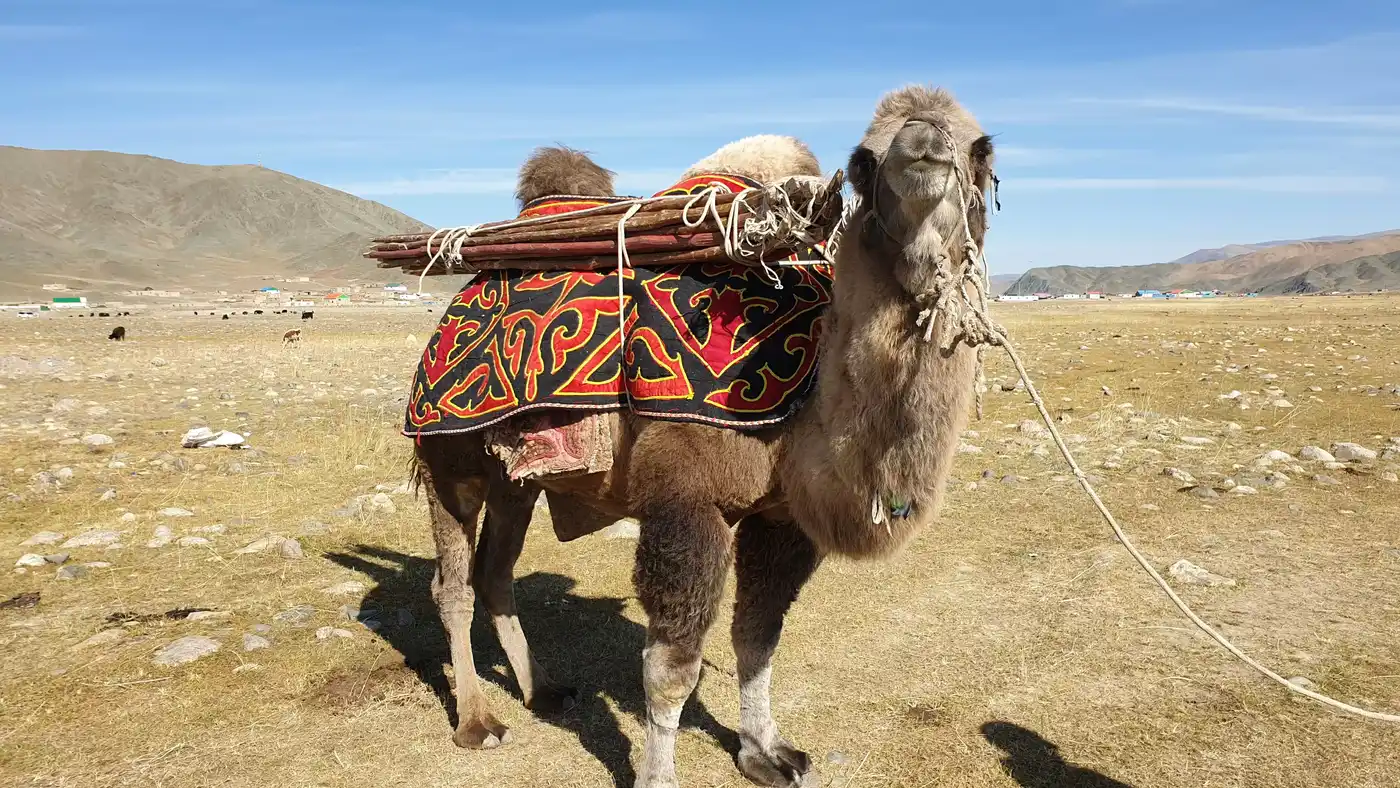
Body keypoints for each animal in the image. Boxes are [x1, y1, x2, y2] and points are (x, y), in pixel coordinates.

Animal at [411, 85, 995, 788]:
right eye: (862, 161)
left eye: (983, 150)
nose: (924, 142)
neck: (808, 395)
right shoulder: (686, 500)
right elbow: (672, 669)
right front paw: (658, 776)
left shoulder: (781, 518)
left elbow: (758, 635)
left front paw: (765, 752)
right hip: (449, 457)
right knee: (451, 585)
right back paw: (477, 722)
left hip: (517, 481)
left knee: (497, 573)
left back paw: (543, 692)